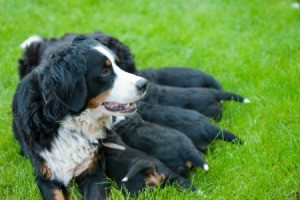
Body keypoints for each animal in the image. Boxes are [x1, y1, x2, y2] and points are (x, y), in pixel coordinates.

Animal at [12, 35, 148, 199]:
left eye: (118, 64)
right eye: (104, 72)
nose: (144, 84)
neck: (68, 122)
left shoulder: (93, 172)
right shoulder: (45, 175)